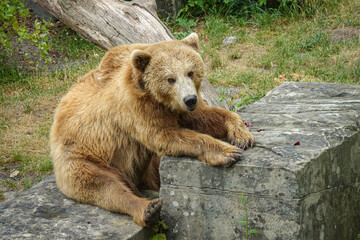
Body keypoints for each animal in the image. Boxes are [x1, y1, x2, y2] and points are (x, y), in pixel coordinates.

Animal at [50, 32, 253, 226]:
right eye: (170, 79)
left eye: (190, 72)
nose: (190, 99)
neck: (159, 100)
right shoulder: (135, 110)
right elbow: (165, 136)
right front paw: (227, 152)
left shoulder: (181, 110)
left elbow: (207, 116)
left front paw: (242, 135)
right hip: (80, 158)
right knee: (103, 186)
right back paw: (148, 209)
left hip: (145, 166)